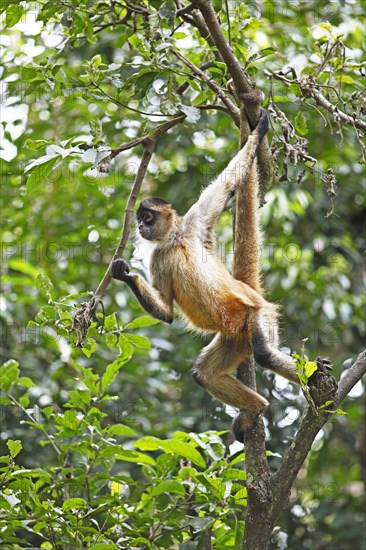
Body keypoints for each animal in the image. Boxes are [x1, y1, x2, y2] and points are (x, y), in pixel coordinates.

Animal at [113, 110, 298, 442]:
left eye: (147, 217)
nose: (141, 228)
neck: (175, 240)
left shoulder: (193, 224)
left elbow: (227, 183)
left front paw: (259, 132)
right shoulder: (159, 257)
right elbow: (167, 312)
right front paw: (123, 273)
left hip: (257, 316)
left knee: (264, 353)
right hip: (234, 338)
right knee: (203, 373)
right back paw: (257, 407)